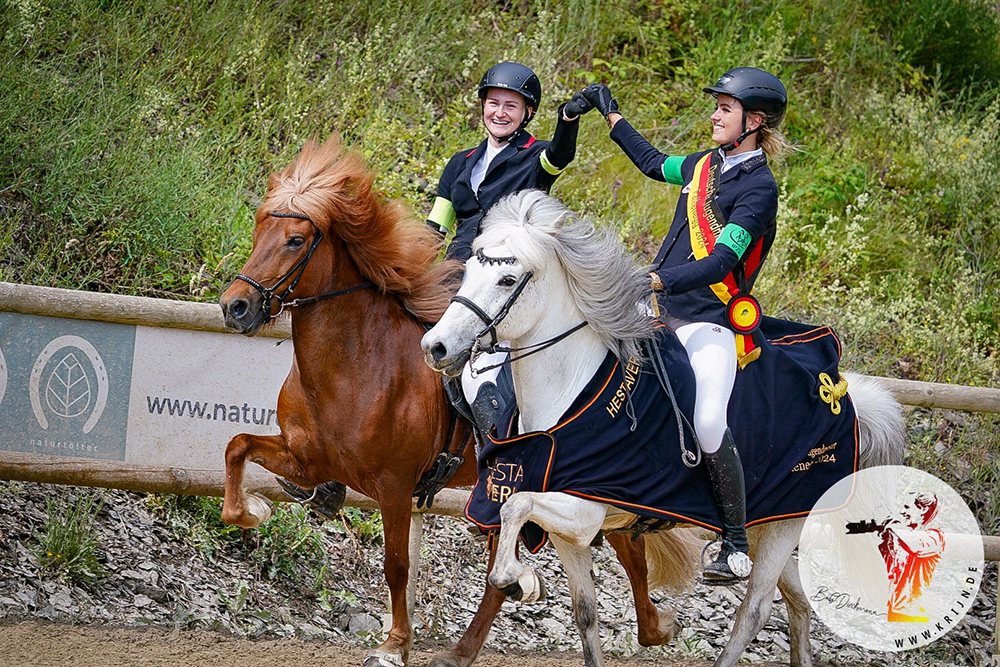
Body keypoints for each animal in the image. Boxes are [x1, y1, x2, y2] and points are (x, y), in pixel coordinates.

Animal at [217, 137, 688, 667]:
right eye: (259, 227)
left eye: (296, 241)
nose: (235, 307)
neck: (351, 365)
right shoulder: (307, 459)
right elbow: (237, 446)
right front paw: (253, 512)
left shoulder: (395, 485)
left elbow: (397, 565)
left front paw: (394, 645)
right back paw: (468, 646)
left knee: (627, 552)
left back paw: (655, 625)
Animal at [422, 189, 908, 667]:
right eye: (467, 271)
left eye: (507, 280)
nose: (436, 346)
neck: (570, 391)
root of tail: (838, 388)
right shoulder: (569, 533)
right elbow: (584, 612)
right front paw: (527, 583)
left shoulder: (584, 509)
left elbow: (514, 505)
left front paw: (518, 581)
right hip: (770, 519)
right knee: (799, 603)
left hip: (786, 521)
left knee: (754, 610)